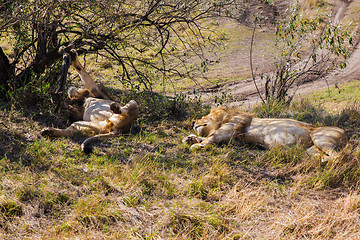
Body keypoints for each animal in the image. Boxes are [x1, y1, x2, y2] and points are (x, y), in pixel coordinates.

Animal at [183, 105, 346, 160]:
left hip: (320, 138)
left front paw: (197, 145)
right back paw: (318, 161)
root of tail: (344, 132)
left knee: (339, 157)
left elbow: (210, 138)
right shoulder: (235, 140)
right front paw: (190, 138)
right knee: (324, 155)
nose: (192, 122)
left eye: (204, 116)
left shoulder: (230, 129)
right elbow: (205, 137)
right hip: (311, 149)